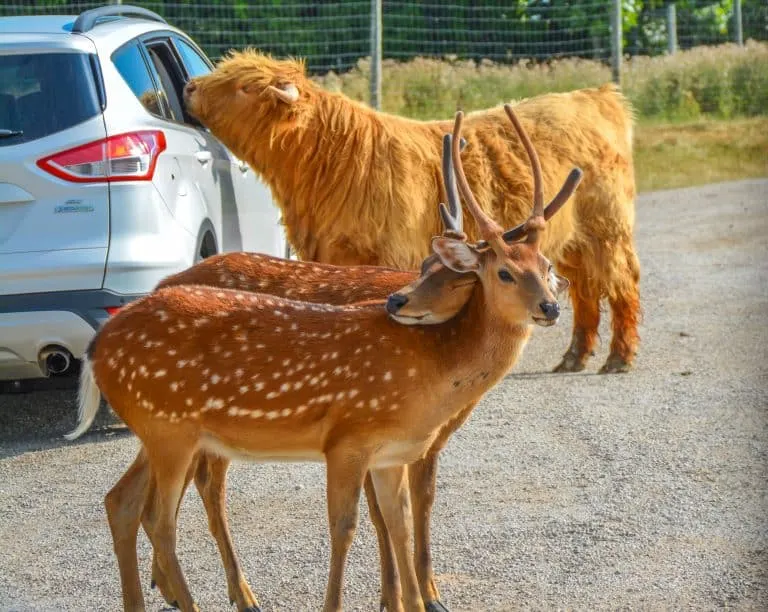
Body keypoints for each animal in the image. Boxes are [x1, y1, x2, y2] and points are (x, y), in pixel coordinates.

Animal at [69, 109, 580, 612]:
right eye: (503, 273)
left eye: (546, 268)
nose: (550, 307)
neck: (431, 374)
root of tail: (97, 347)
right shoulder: (348, 438)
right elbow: (345, 528)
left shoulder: (393, 453)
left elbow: (400, 523)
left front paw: (414, 600)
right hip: (171, 428)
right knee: (165, 518)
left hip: (162, 430)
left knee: (122, 502)